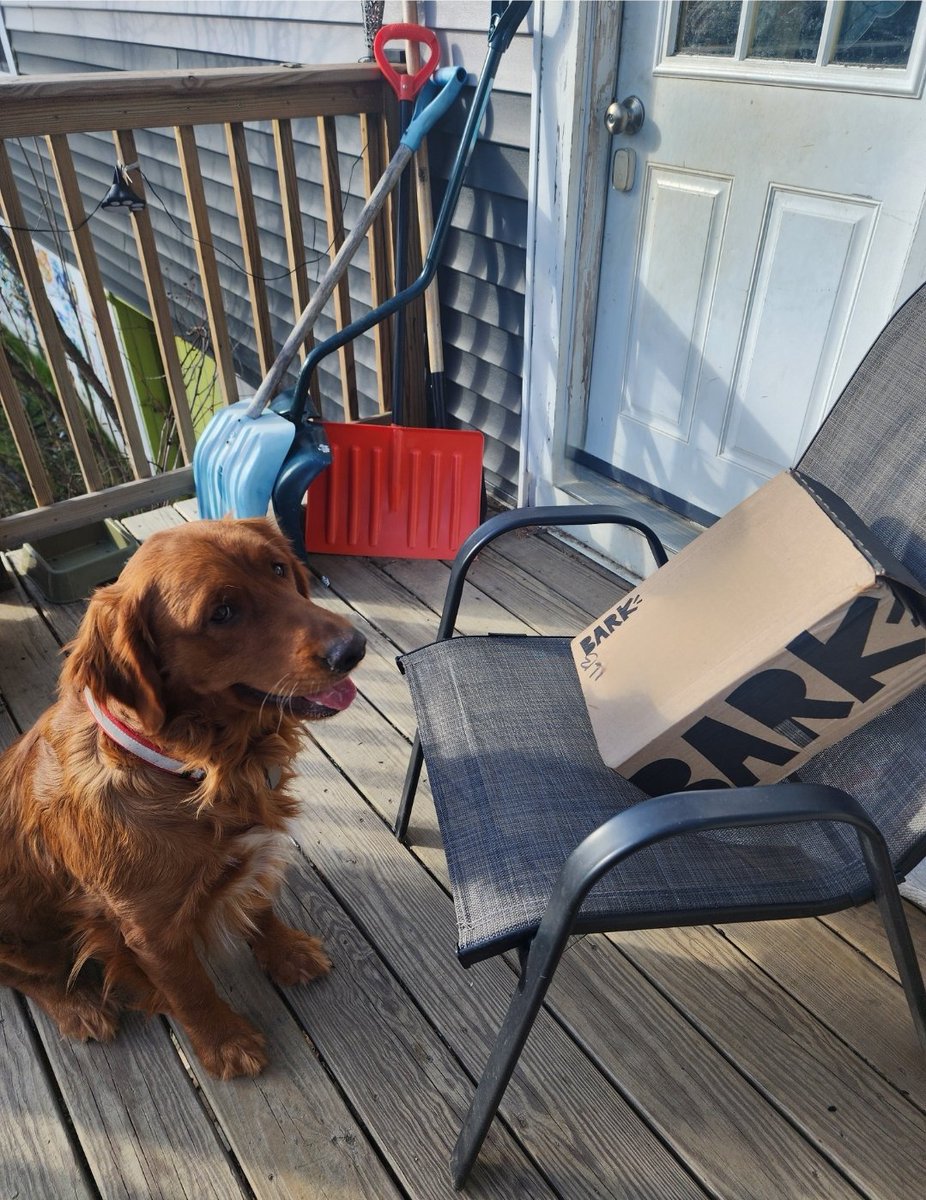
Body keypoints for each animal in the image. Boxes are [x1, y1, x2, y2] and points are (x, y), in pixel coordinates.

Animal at [0, 516, 364, 1080]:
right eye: (222, 613)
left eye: (278, 568)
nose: (354, 648)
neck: (195, 768)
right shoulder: (148, 929)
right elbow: (189, 989)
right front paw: (225, 1042)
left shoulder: (250, 854)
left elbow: (259, 904)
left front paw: (285, 952)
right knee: (26, 976)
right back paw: (78, 1007)